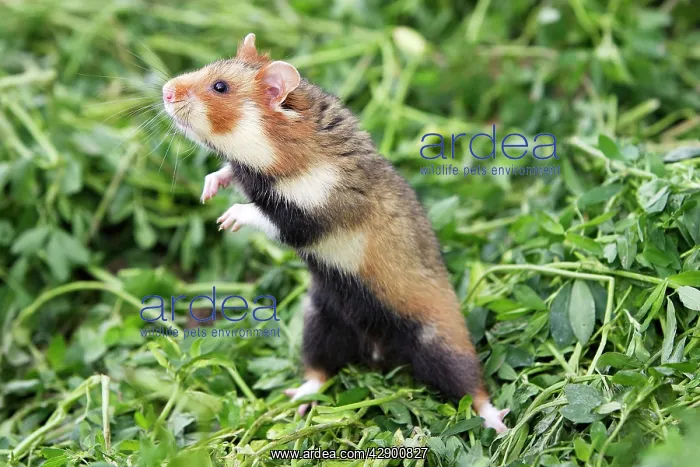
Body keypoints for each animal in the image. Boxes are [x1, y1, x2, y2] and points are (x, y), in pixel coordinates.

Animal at [162, 33, 509, 433]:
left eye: (220, 87)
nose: (165, 91)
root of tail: (378, 356)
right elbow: (229, 173)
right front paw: (209, 188)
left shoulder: (313, 215)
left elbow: (267, 216)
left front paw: (229, 217)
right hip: (320, 321)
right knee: (320, 371)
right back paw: (296, 400)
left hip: (440, 342)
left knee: (472, 387)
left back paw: (499, 423)